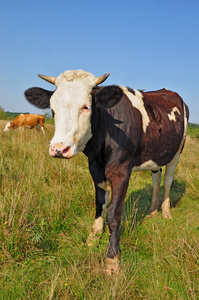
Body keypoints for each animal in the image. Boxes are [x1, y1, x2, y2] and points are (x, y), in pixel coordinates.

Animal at [24, 69, 189, 274]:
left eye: (86, 107)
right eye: (53, 109)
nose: (59, 149)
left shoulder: (121, 172)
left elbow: (113, 214)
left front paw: (112, 258)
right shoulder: (95, 169)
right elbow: (99, 204)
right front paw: (92, 238)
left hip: (177, 151)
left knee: (167, 180)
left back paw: (165, 212)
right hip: (156, 154)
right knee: (157, 179)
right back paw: (152, 211)